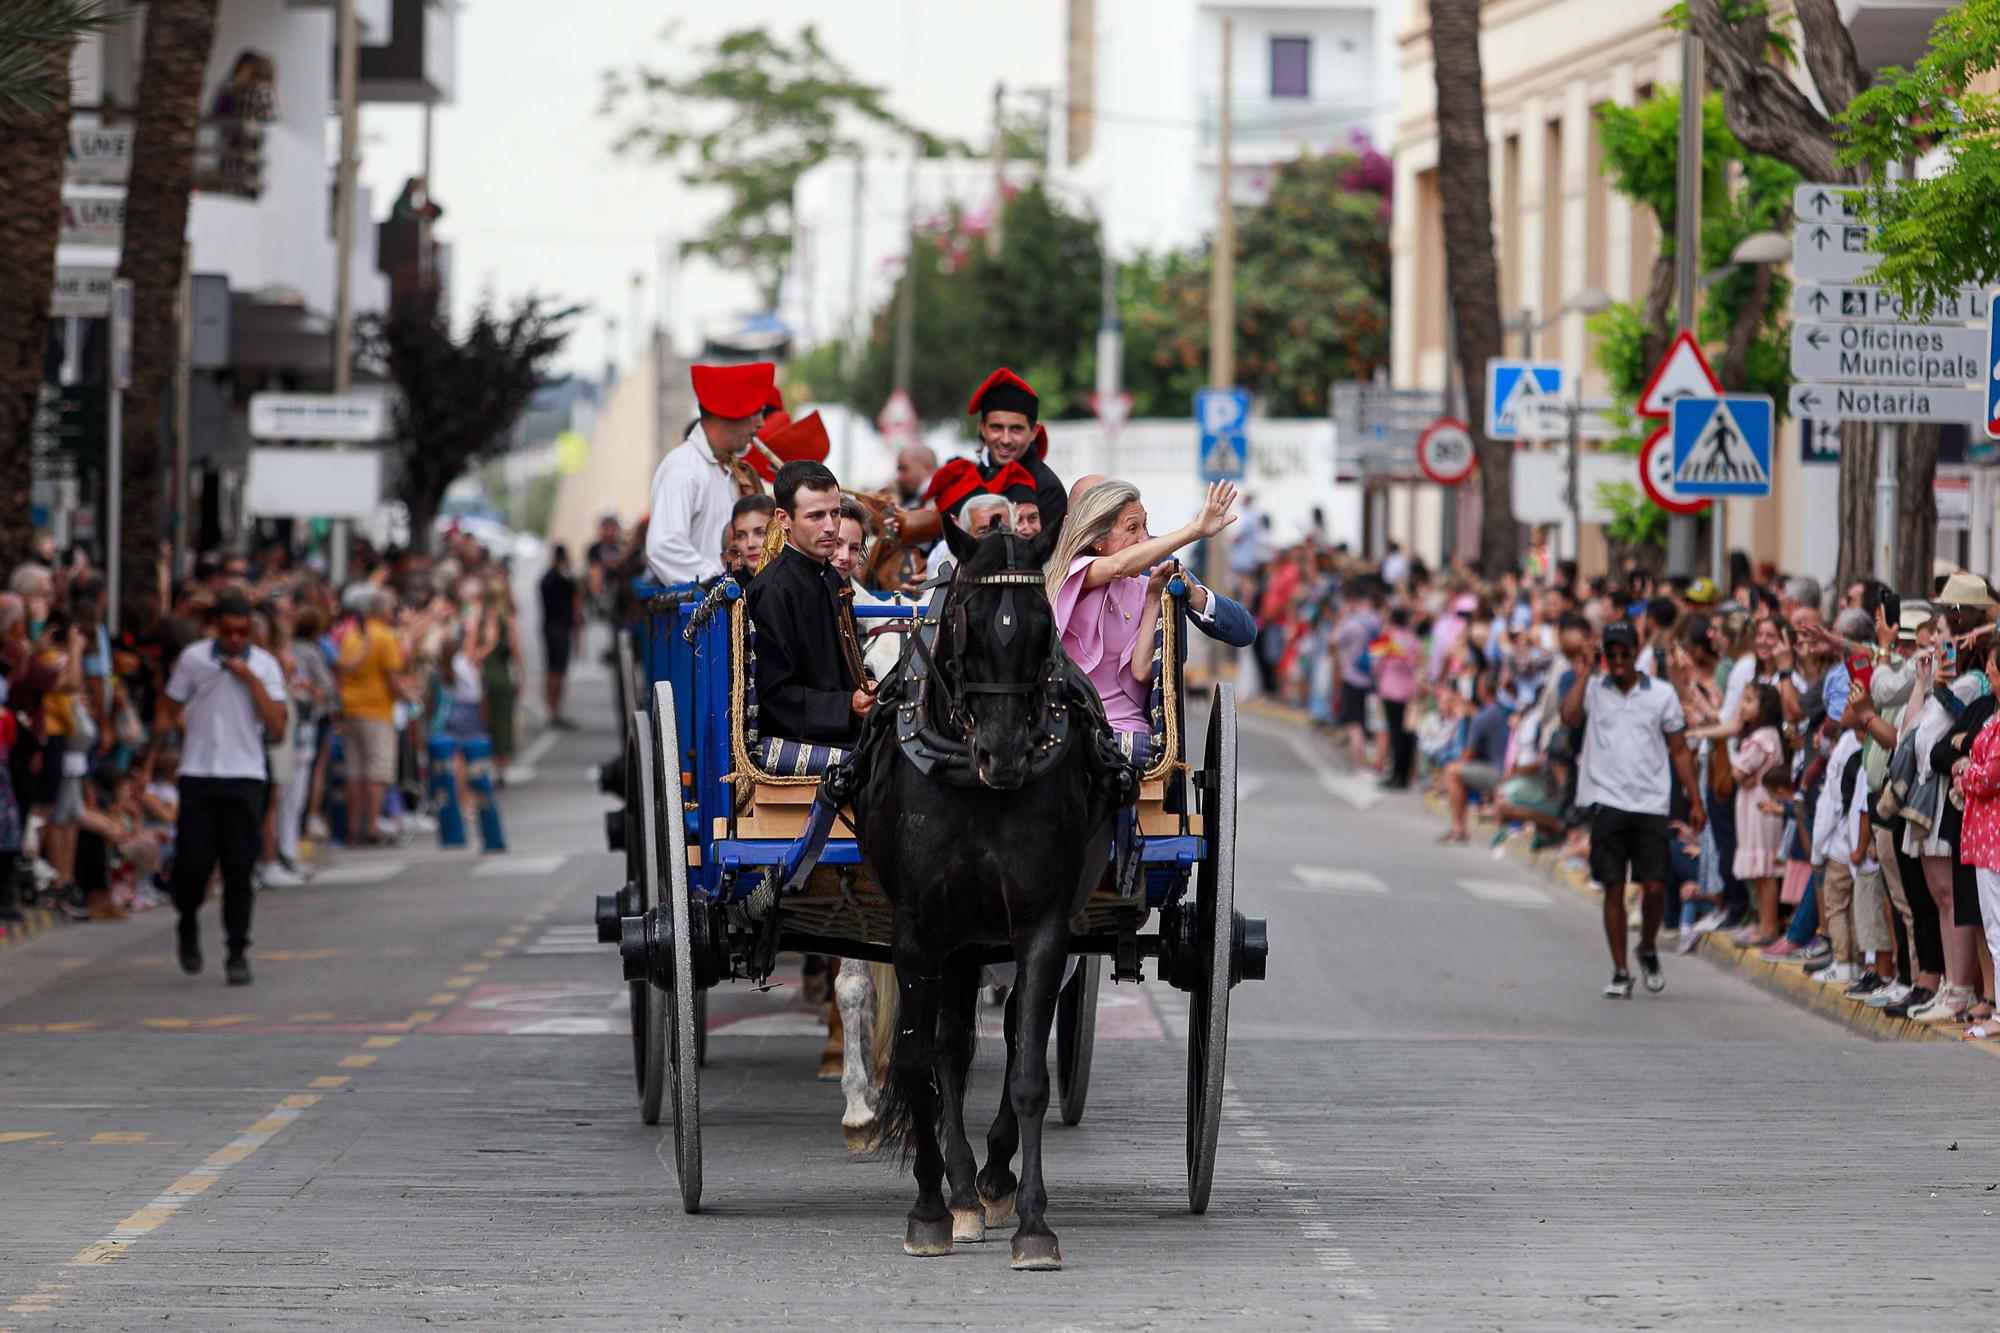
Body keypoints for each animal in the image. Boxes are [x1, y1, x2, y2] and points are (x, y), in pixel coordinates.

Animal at [848, 520, 1144, 1264]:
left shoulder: (1042, 925)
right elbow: (920, 1064)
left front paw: (1033, 1221)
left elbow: (1029, 1070)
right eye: (964, 620)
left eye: (1043, 627)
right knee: (949, 1052)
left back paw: (987, 1180)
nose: (1005, 754)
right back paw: (957, 1192)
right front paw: (929, 1208)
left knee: (1003, 1041)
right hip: (957, 944)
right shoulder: (919, 929)